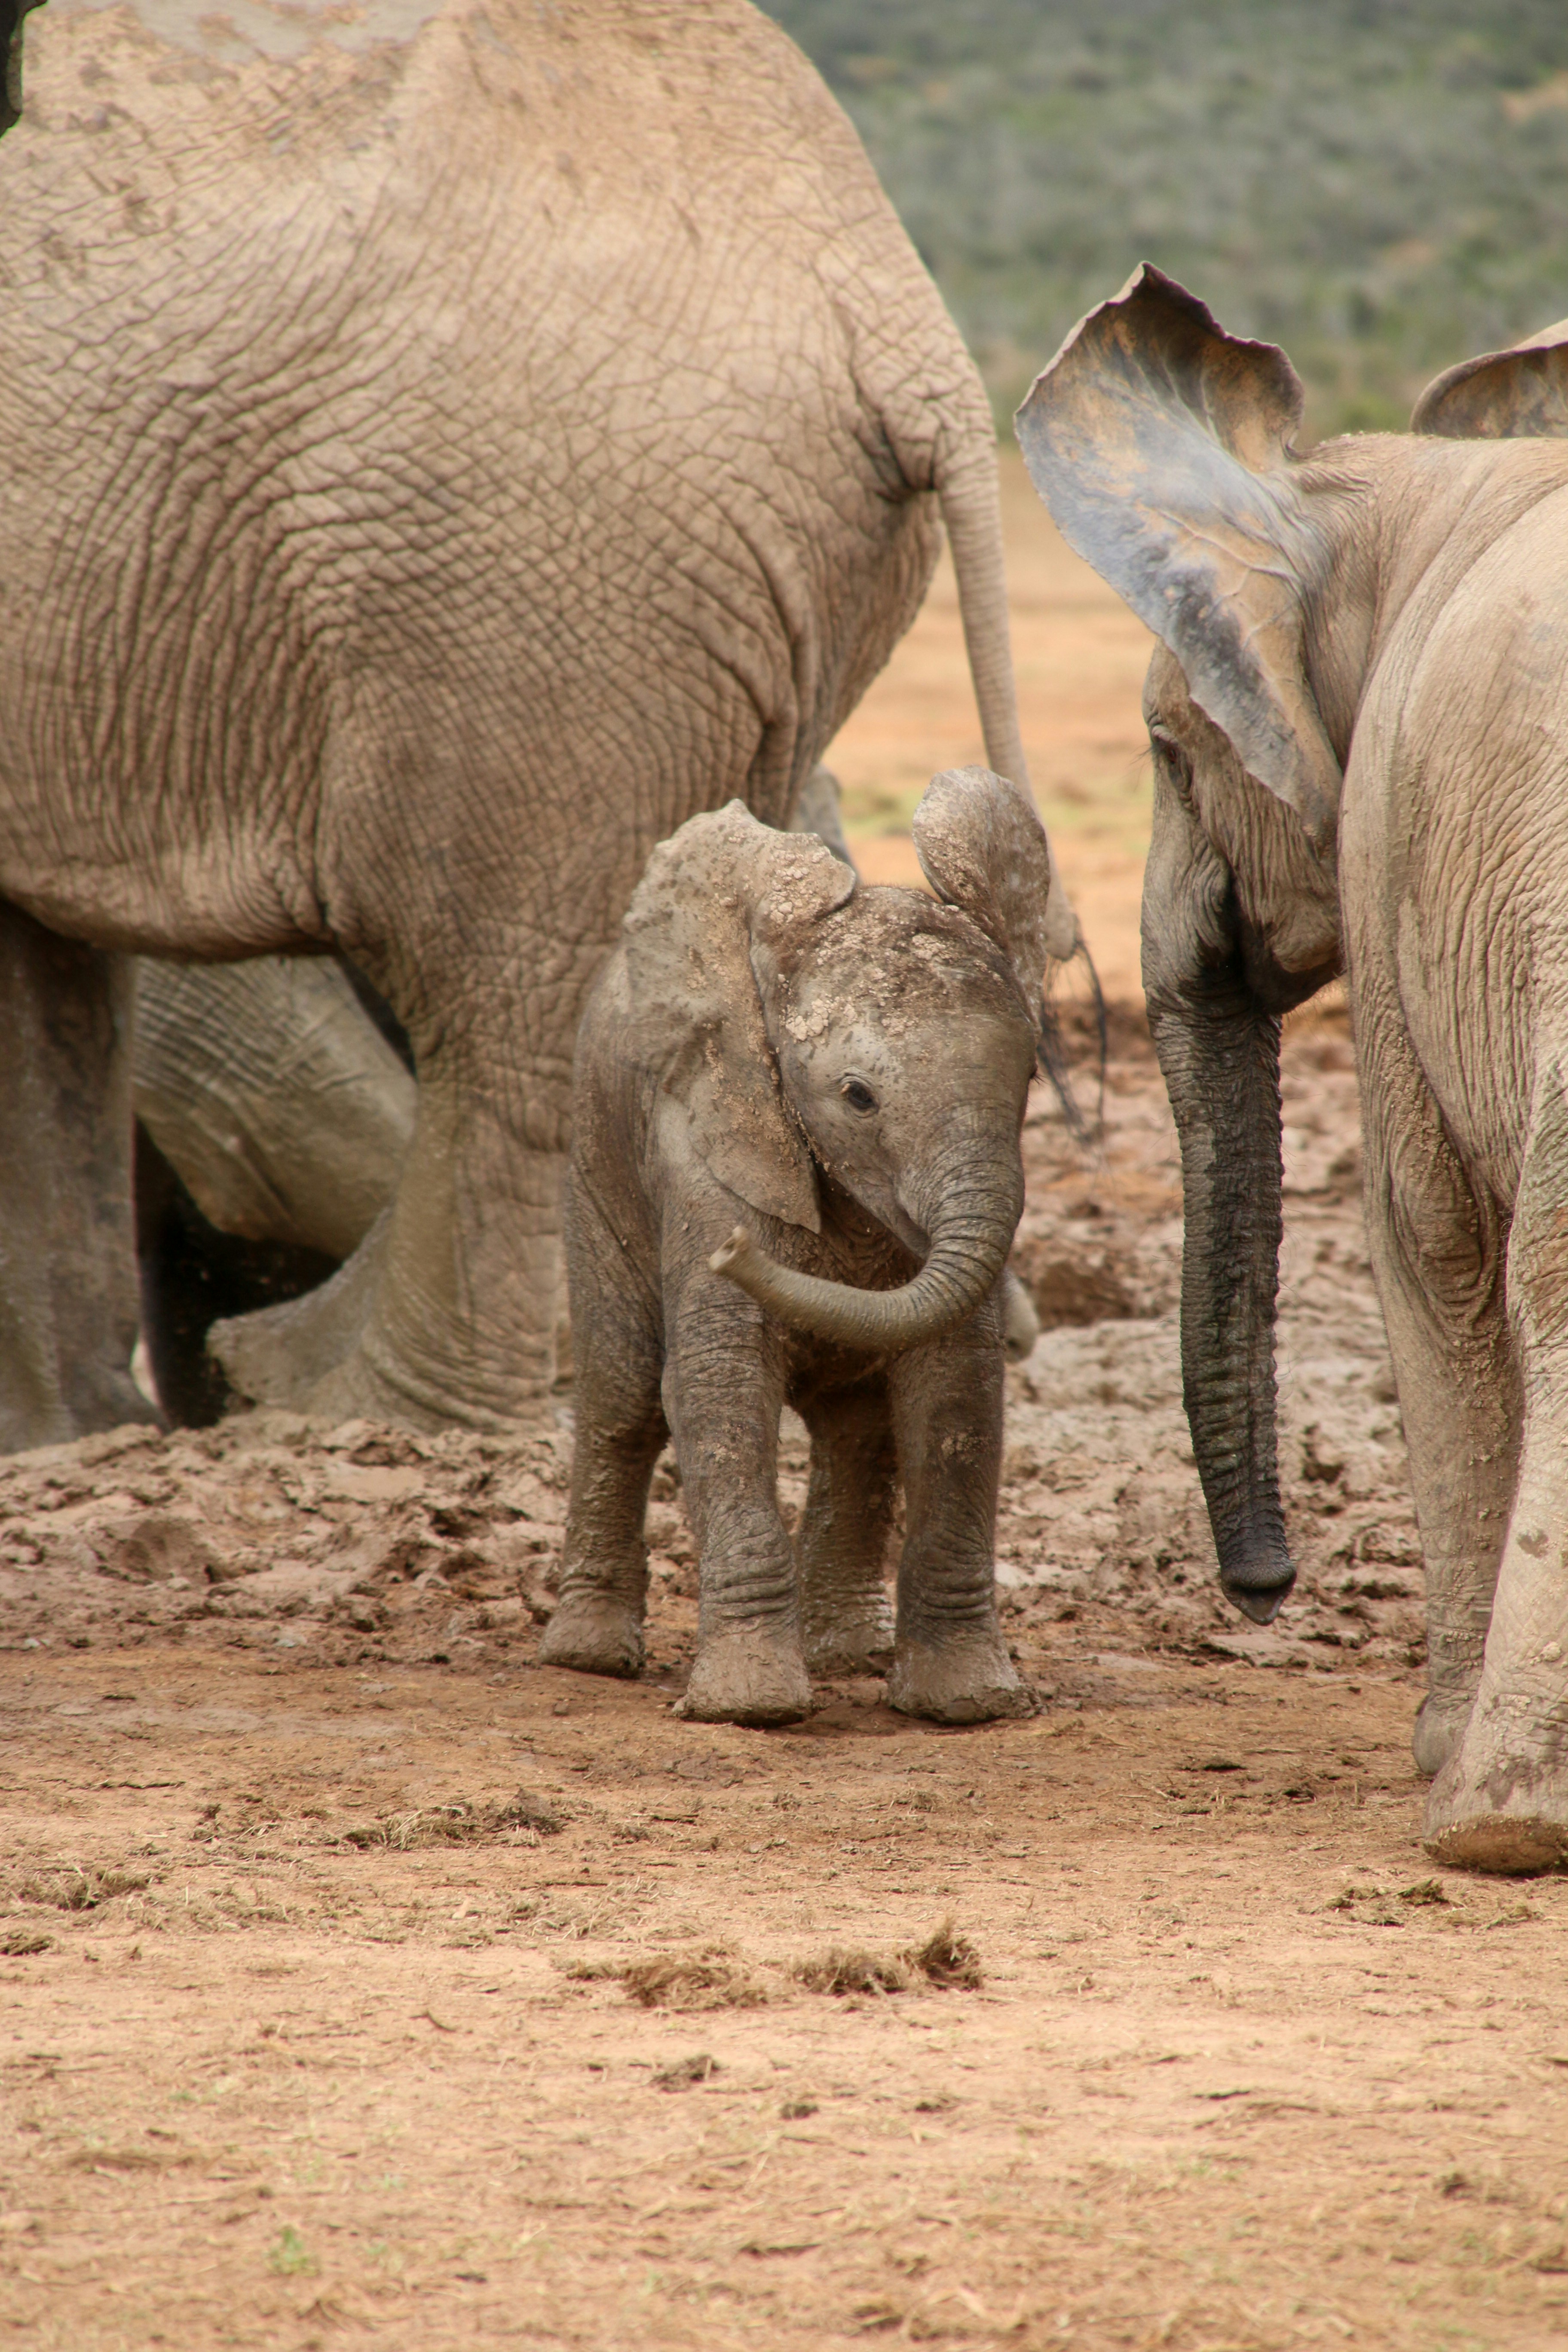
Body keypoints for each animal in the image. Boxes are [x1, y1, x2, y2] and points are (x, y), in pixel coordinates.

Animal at [537, 769, 1050, 1728]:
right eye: (856, 1097)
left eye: (1031, 1077)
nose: (734, 1252)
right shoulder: (703, 1152)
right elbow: (719, 1387)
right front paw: (751, 1708)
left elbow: (957, 1395)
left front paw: (968, 1704)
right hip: (593, 1151)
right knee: (624, 1394)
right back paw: (586, 1656)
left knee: (857, 1429)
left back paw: (847, 1651)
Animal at [1016, 262, 1568, 1872]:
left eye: (1160, 744)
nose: (1261, 1592)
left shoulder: (1396, 839)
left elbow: (1425, 1240)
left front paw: (1436, 1759)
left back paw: (1499, 1821)